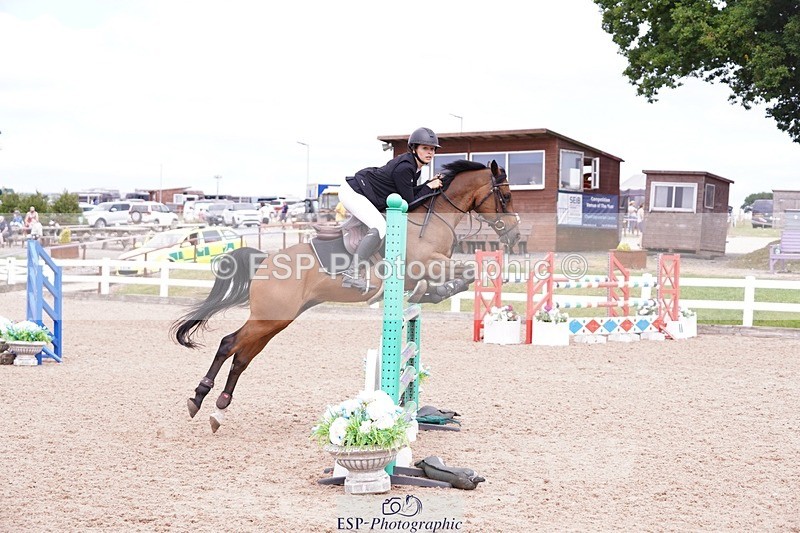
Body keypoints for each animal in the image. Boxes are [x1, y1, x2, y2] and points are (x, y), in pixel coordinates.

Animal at [172, 159, 521, 432]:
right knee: (228, 344)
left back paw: (219, 408)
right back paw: (198, 397)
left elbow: (463, 275)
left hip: (276, 321)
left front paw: (438, 293)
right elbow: (468, 272)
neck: (430, 221)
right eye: (505, 196)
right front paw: (443, 290)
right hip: (268, 318)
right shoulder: (425, 265)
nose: (515, 236)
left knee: (242, 357)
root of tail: (265, 259)